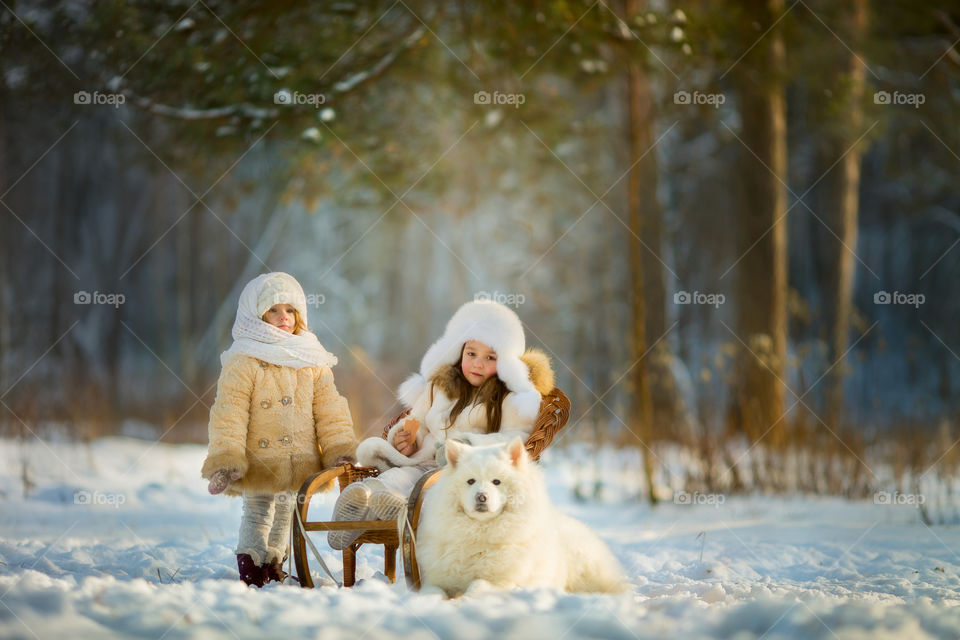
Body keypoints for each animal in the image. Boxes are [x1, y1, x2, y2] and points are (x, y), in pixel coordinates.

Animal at [414, 438, 632, 596]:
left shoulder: (509, 581)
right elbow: (432, 591)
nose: (481, 497)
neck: (480, 535)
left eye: (496, 482)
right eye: (470, 481)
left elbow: (477, 586)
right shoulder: (437, 579)